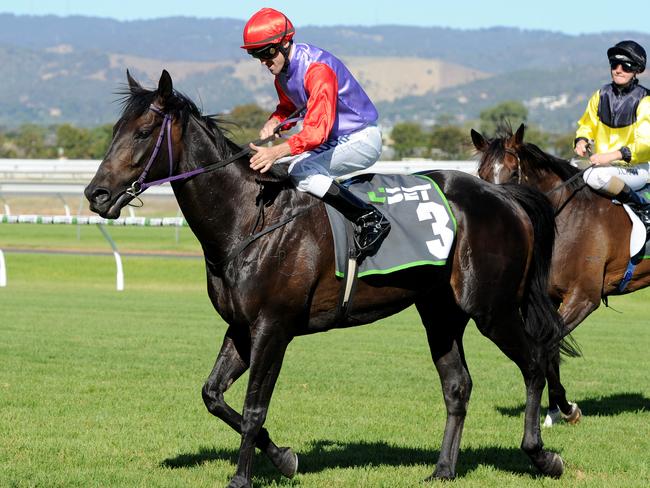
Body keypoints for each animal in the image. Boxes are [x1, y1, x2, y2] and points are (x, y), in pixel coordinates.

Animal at [85, 70, 572, 486]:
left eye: (143, 132)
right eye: (115, 131)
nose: (96, 194)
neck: (250, 219)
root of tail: (503, 195)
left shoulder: (273, 328)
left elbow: (254, 406)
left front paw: (242, 477)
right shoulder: (241, 327)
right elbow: (213, 395)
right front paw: (284, 458)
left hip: (492, 308)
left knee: (534, 360)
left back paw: (542, 454)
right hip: (441, 312)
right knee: (458, 385)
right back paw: (443, 469)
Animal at [470, 124, 648, 426]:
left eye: (514, 173)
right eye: (481, 174)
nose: (498, 214)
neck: (567, 218)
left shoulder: (583, 297)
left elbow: (549, 345)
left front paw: (566, 408)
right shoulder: (548, 297)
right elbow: (548, 350)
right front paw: (555, 409)